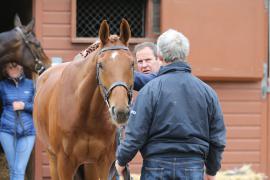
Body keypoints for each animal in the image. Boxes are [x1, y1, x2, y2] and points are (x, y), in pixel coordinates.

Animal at [33, 19, 134, 179]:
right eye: (101, 65)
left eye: (131, 63)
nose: (121, 111)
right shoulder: (64, 162)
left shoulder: (103, 161)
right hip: (53, 158)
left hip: (88, 164)